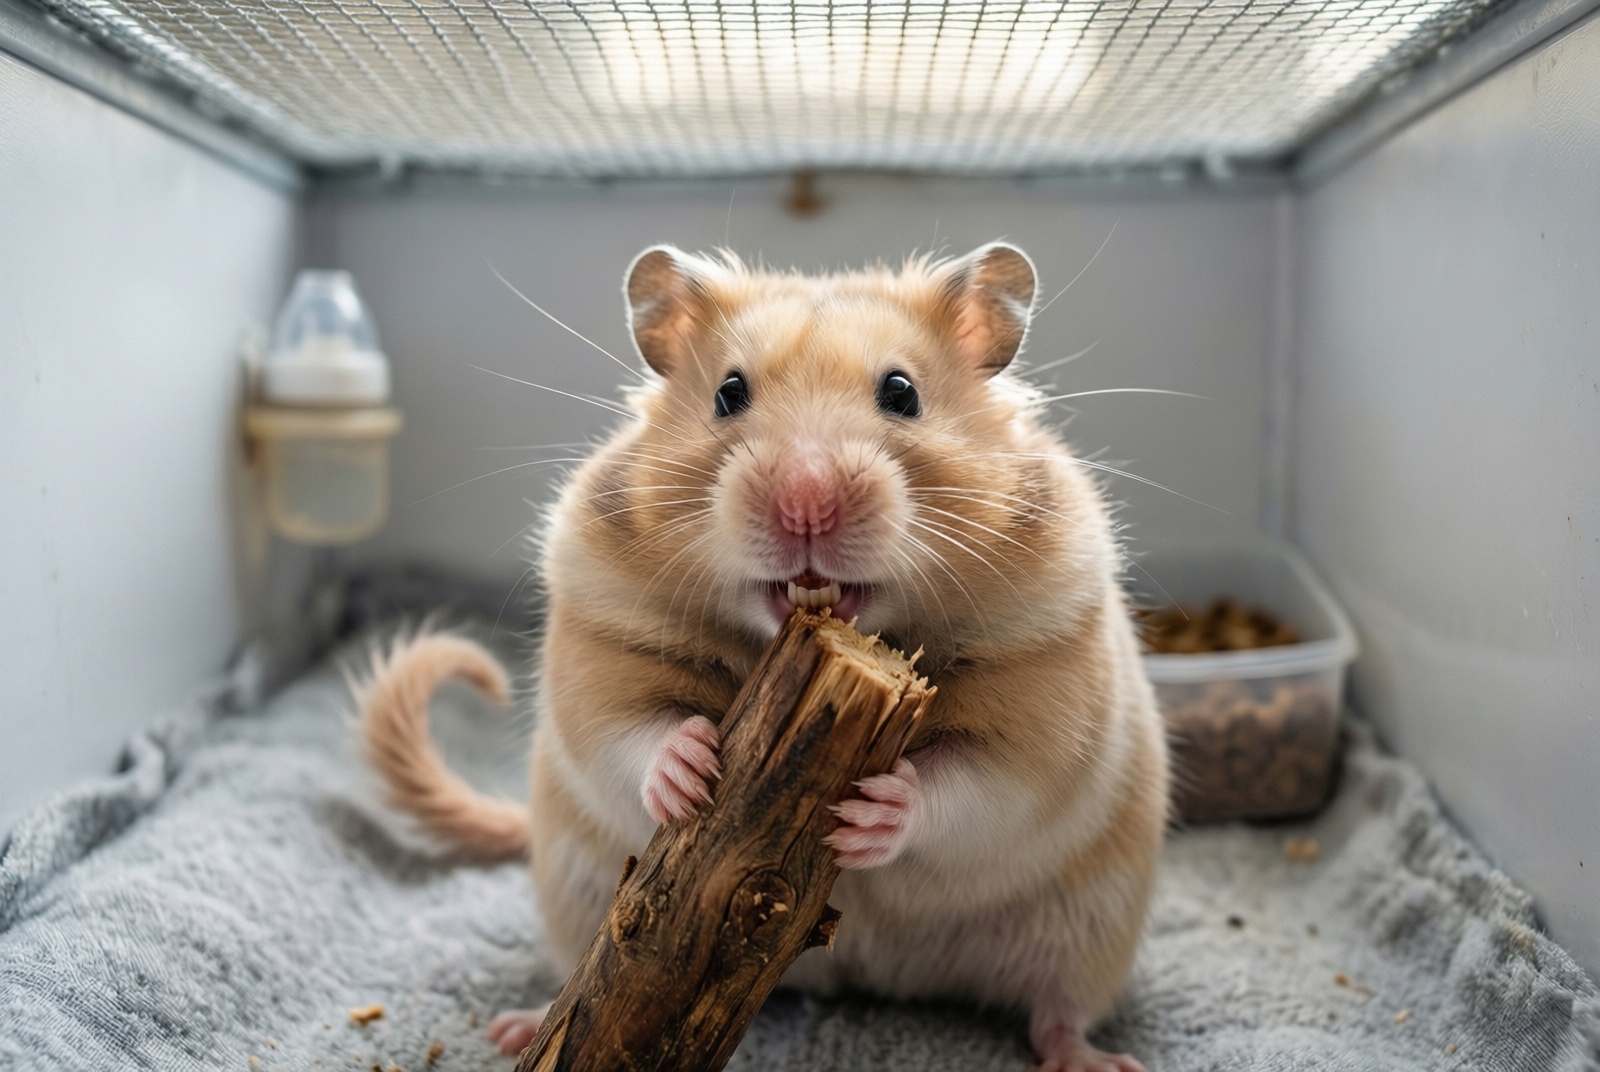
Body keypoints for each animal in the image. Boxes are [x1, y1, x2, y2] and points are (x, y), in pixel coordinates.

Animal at [359, 243, 1168, 1072]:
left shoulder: (1045, 706)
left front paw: (872, 814)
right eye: (728, 393)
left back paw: (1096, 1061)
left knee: (1058, 1011)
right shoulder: (601, 650)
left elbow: (972, 783)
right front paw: (688, 769)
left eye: (902, 393)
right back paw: (515, 1030)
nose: (805, 504)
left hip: (1090, 928)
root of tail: (873, 981)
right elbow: (632, 734)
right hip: (572, 894)